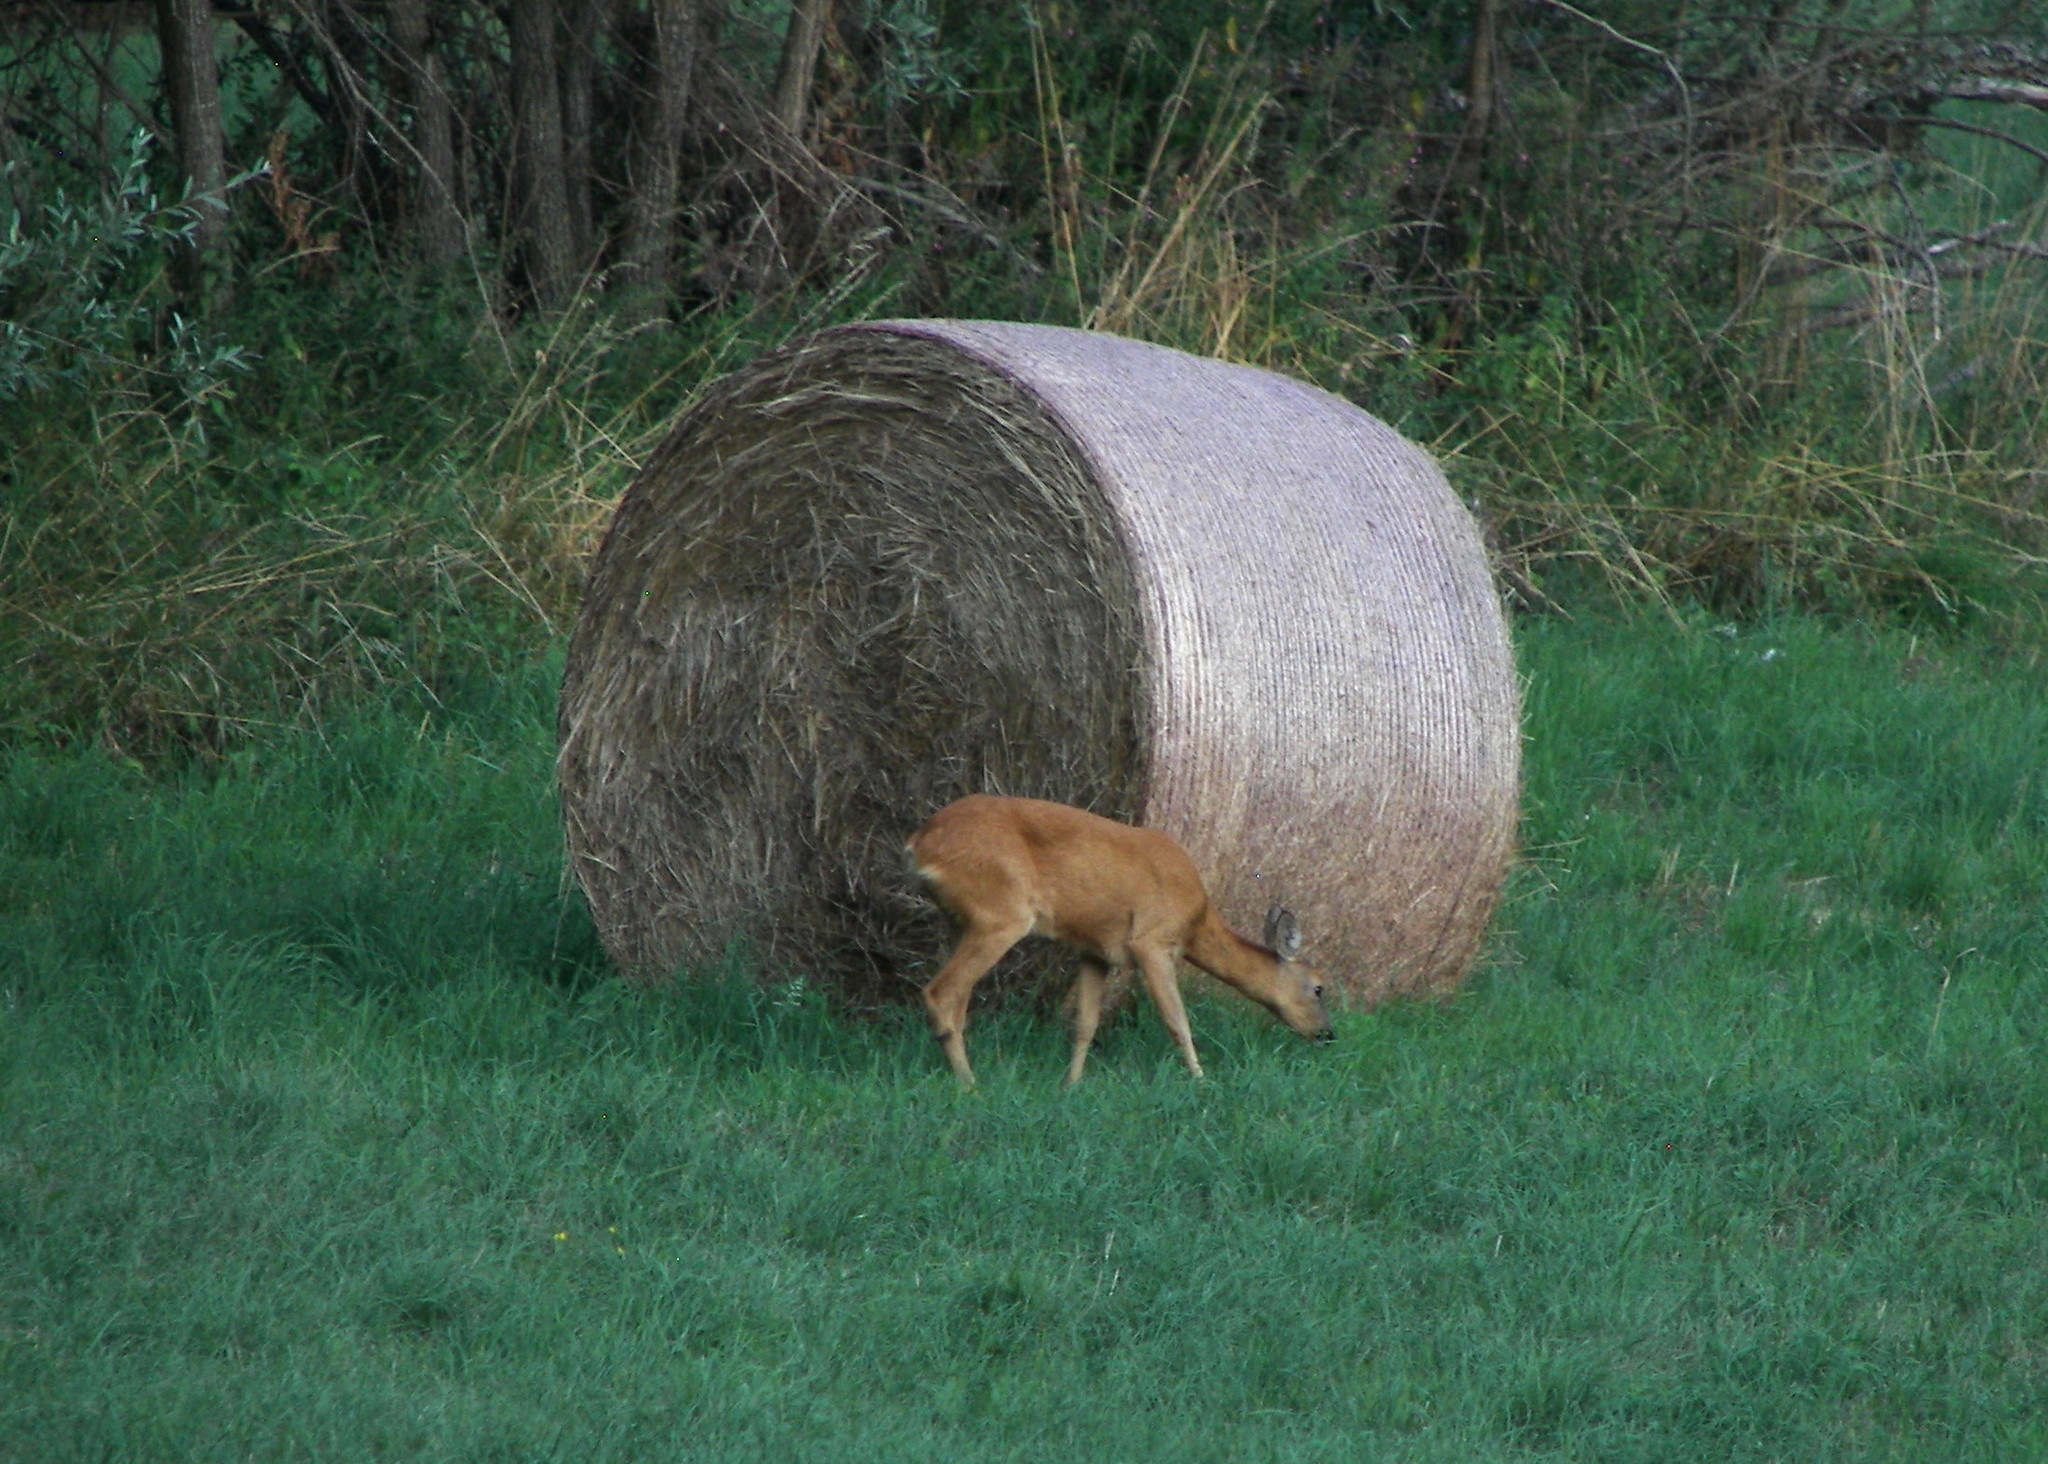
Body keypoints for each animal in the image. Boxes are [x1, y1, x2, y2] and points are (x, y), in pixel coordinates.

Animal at [905, 790, 1335, 1089]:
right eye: (1318, 988)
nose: (1328, 1035)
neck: (1195, 920)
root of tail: (920, 841)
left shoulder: (1093, 950)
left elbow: (1086, 1024)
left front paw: (1071, 1084)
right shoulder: (1152, 941)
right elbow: (1177, 1020)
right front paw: (1201, 1079)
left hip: (961, 921)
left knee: (958, 1000)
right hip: (1000, 913)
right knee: (940, 992)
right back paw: (970, 1085)